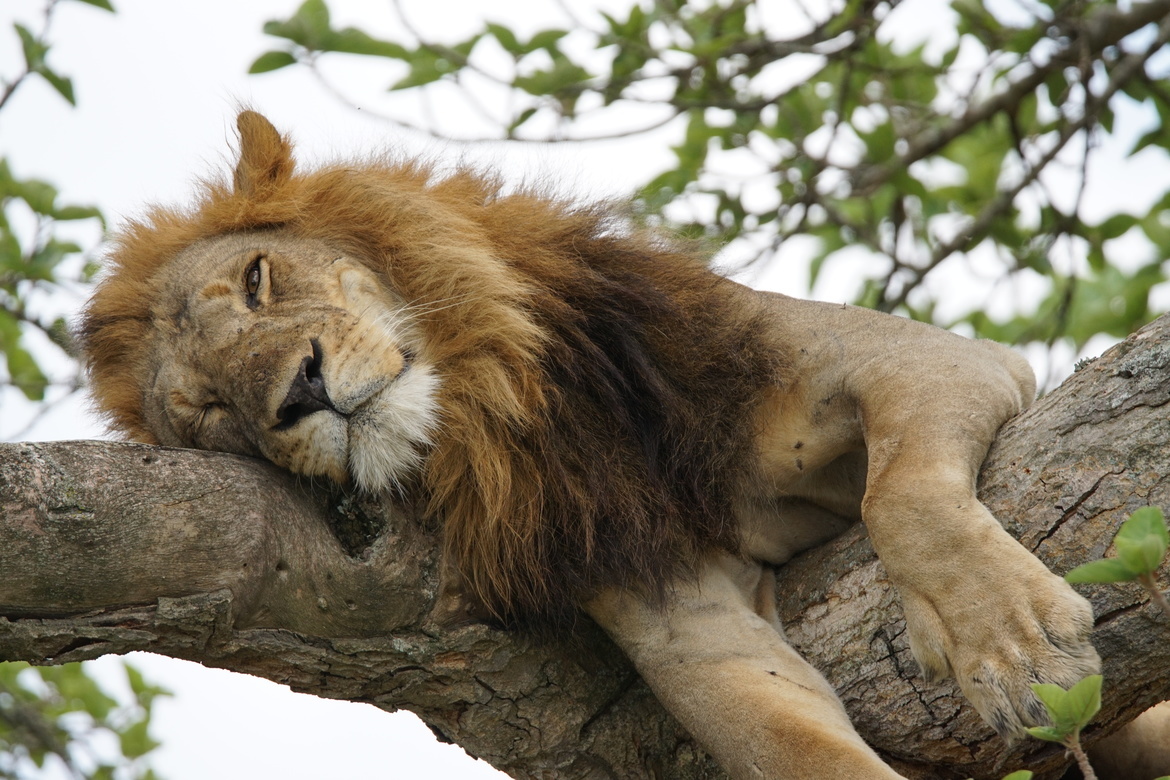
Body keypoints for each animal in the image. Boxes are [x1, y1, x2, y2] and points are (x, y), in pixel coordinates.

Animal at [78, 111, 1102, 779]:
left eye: (257, 280)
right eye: (213, 414)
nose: (299, 393)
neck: (501, 417)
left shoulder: (920, 357)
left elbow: (902, 495)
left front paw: (1017, 650)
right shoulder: (670, 604)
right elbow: (783, 739)